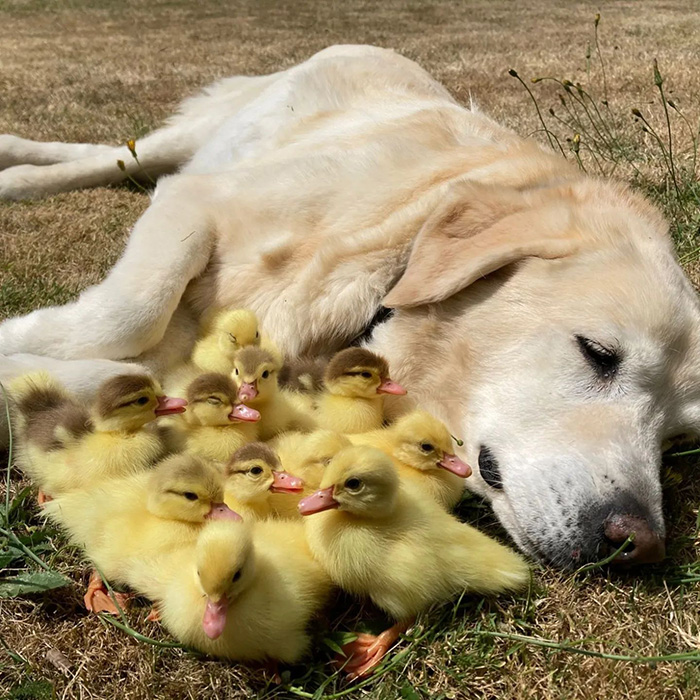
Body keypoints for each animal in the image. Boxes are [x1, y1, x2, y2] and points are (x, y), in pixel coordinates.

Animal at [1, 45, 700, 568]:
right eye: (599, 353)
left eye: (676, 437)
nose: (639, 545)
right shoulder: (193, 202)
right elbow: (127, 312)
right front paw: (21, 335)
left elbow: (136, 370)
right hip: (204, 135)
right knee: (114, 156)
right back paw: (17, 169)